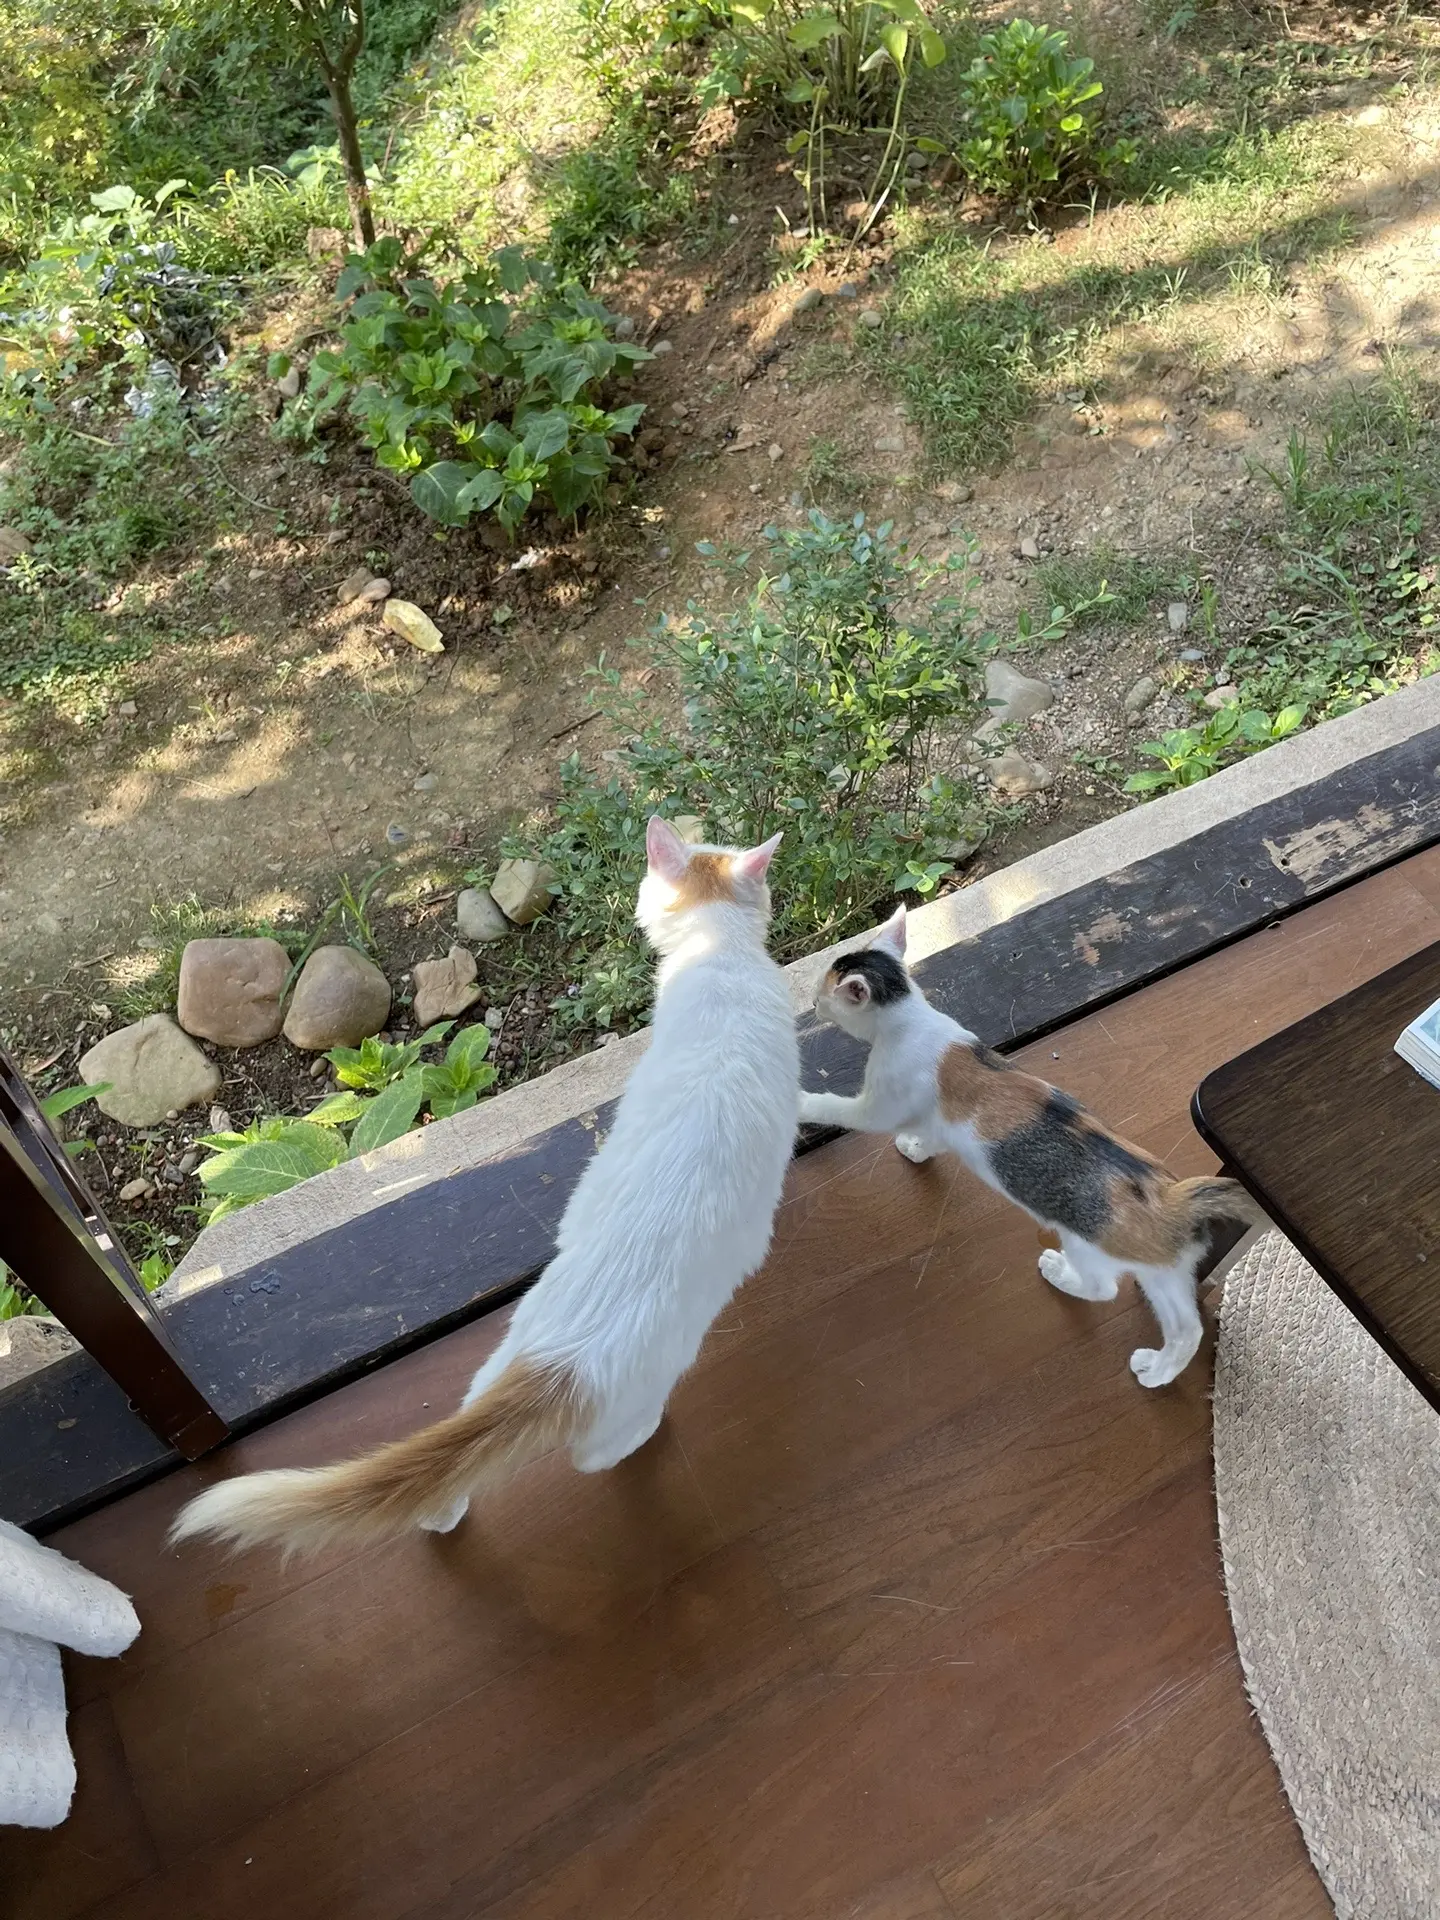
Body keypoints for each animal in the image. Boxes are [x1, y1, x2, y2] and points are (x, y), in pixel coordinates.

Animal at [171, 815, 800, 1557]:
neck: (718, 956)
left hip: (498, 1357)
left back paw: (439, 1519)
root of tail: (562, 1363)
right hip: (642, 1384)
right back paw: (646, 1437)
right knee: (596, 1456)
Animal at [798, 906, 1261, 1388]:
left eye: (822, 995)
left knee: (1103, 1289)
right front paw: (915, 1146)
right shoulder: (937, 1121)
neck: (909, 1021)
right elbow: (931, 1136)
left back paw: (1060, 1274)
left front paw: (798, 1100)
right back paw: (1157, 1370)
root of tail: (1175, 1199)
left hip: (1089, 1246)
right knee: (1188, 1327)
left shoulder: (881, 1104)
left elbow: (842, 1110)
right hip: (1164, 1271)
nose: (812, 1003)